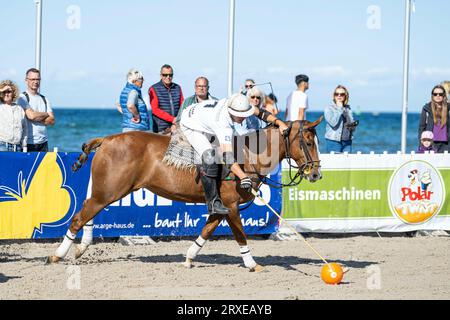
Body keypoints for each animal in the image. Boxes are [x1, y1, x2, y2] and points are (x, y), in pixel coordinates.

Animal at [47, 117, 324, 270]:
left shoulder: (221, 206)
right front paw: (252, 264)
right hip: (107, 193)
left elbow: (207, 230)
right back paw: (58, 255)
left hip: (104, 192)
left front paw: (190, 257)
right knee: (78, 218)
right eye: (309, 142)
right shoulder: (232, 205)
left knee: (85, 215)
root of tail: (107, 139)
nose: (316, 174)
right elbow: (241, 237)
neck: (246, 157)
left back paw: (79, 249)